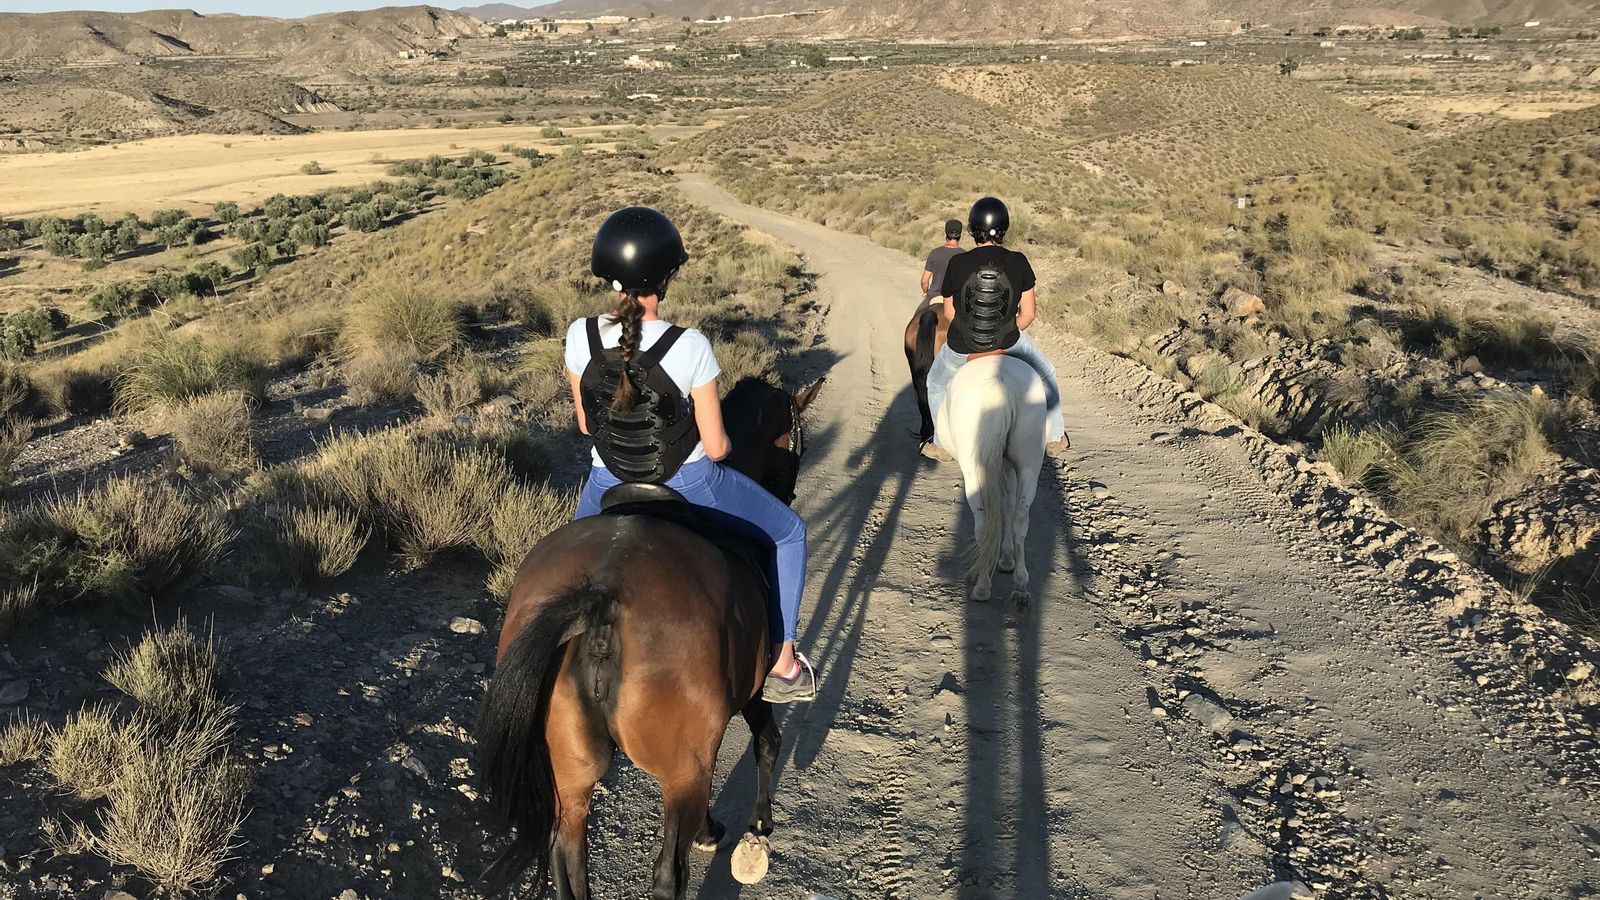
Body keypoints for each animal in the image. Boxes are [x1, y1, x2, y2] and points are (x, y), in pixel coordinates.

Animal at [475, 375, 824, 900]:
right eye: (796, 444)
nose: (789, 490)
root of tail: (600, 598)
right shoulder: (751, 692)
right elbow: (767, 741)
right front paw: (758, 828)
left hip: (570, 774)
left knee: (567, 861)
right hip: (679, 770)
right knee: (667, 875)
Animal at [935, 354, 1048, 603]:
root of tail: (999, 384)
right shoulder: (1008, 465)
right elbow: (1007, 503)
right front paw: (1006, 559)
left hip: (973, 468)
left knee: (983, 521)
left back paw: (982, 585)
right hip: (1029, 464)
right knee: (1020, 517)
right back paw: (1021, 585)